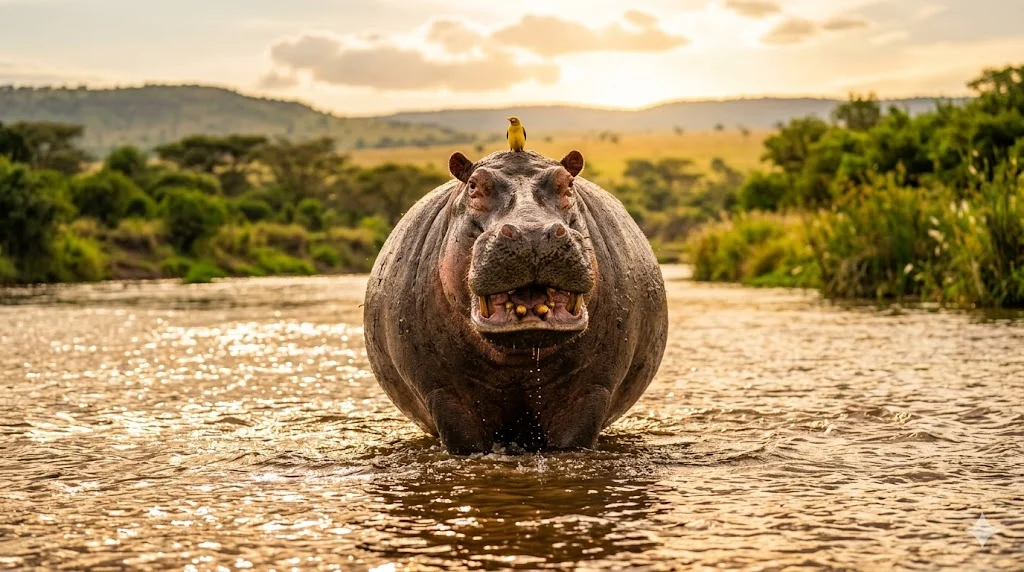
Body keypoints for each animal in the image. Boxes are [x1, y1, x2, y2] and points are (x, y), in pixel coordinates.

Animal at [363, 150, 668, 454]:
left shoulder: (591, 389)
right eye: (473, 185)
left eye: (568, 184)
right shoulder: (444, 393)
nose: (532, 232)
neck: (519, 358)